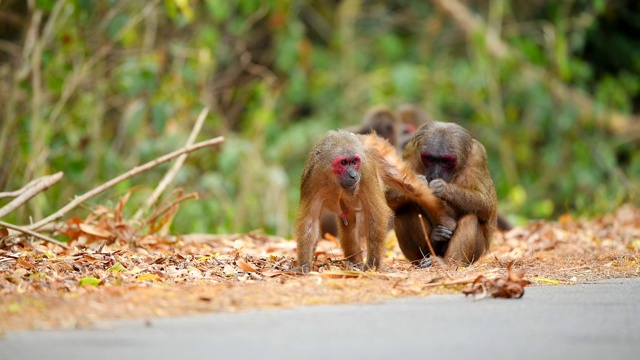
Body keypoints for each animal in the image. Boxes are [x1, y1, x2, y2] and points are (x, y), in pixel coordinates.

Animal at [296, 130, 456, 272]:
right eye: (343, 163)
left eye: (354, 162)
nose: (353, 175)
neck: (335, 180)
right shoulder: (313, 177)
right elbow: (310, 221)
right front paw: (304, 265)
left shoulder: (366, 171)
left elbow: (375, 214)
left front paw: (372, 266)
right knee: (348, 220)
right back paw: (354, 263)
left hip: (378, 151)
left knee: (412, 187)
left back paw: (444, 221)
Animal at [390, 121, 500, 268]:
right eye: (430, 158)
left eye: (445, 161)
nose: (435, 174)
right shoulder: (411, 152)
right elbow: (388, 193)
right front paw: (418, 183)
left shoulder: (478, 157)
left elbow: (487, 206)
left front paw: (443, 188)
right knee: (405, 210)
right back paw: (432, 243)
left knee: (471, 218)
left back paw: (448, 263)